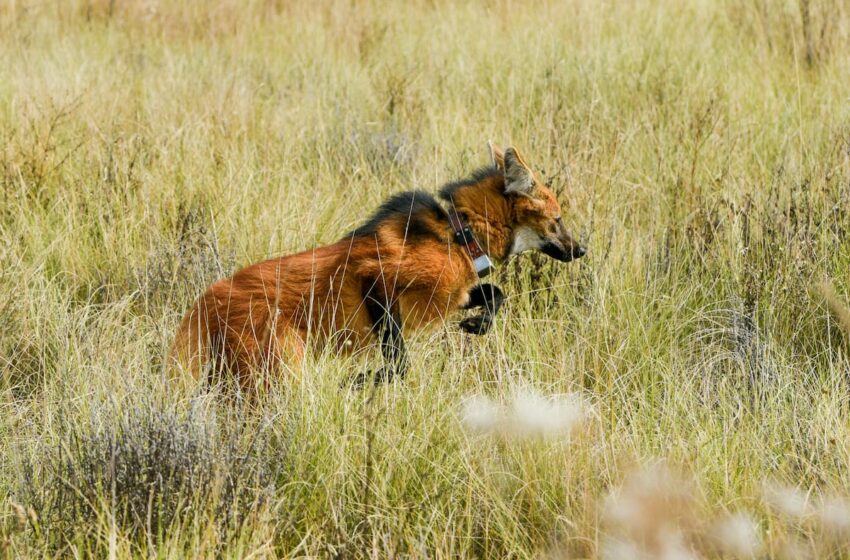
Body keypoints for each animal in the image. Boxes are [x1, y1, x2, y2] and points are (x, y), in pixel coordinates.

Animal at [170, 144, 586, 390]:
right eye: (558, 220)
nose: (581, 249)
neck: (460, 234)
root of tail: (204, 300)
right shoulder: (376, 279)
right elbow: (400, 364)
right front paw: (359, 381)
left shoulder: (449, 294)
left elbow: (495, 295)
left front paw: (477, 324)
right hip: (280, 365)